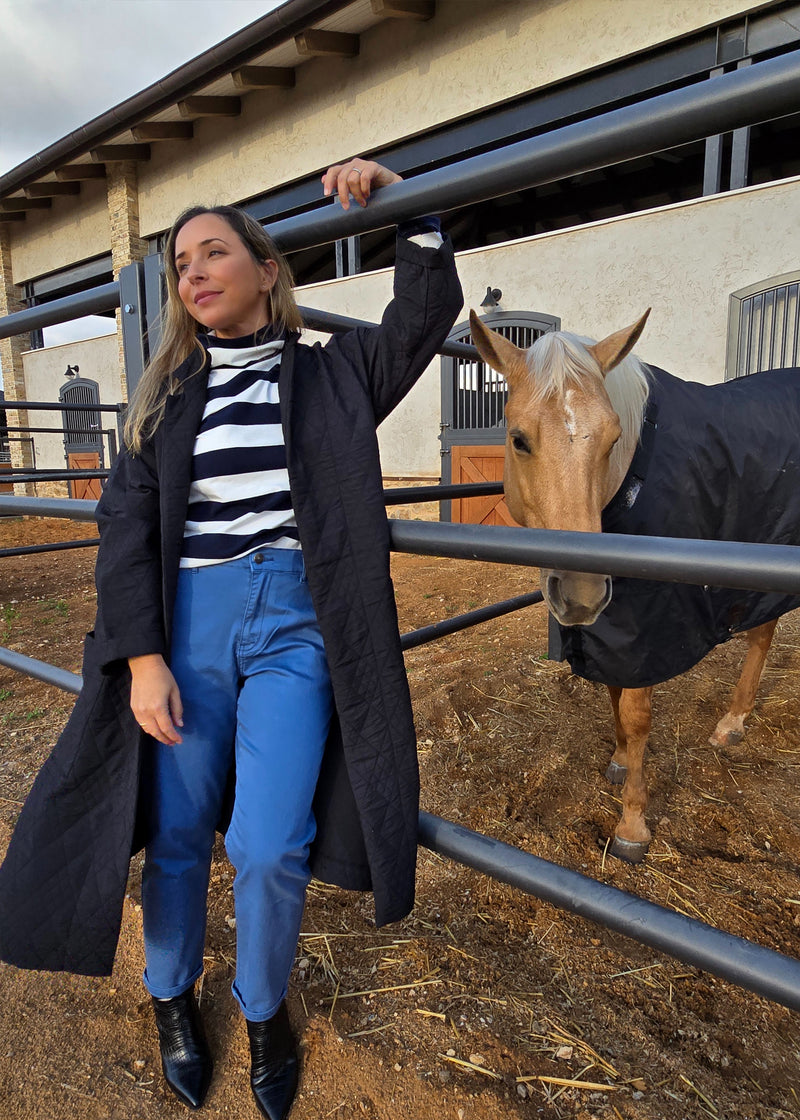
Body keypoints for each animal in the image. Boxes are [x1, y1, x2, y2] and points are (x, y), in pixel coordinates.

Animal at [468, 311, 797, 860]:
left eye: (612, 439)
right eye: (518, 439)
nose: (580, 592)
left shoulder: (652, 627)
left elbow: (638, 712)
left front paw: (632, 824)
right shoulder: (615, 626)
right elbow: (613, 691)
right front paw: (620, 759)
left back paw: (731, 723)